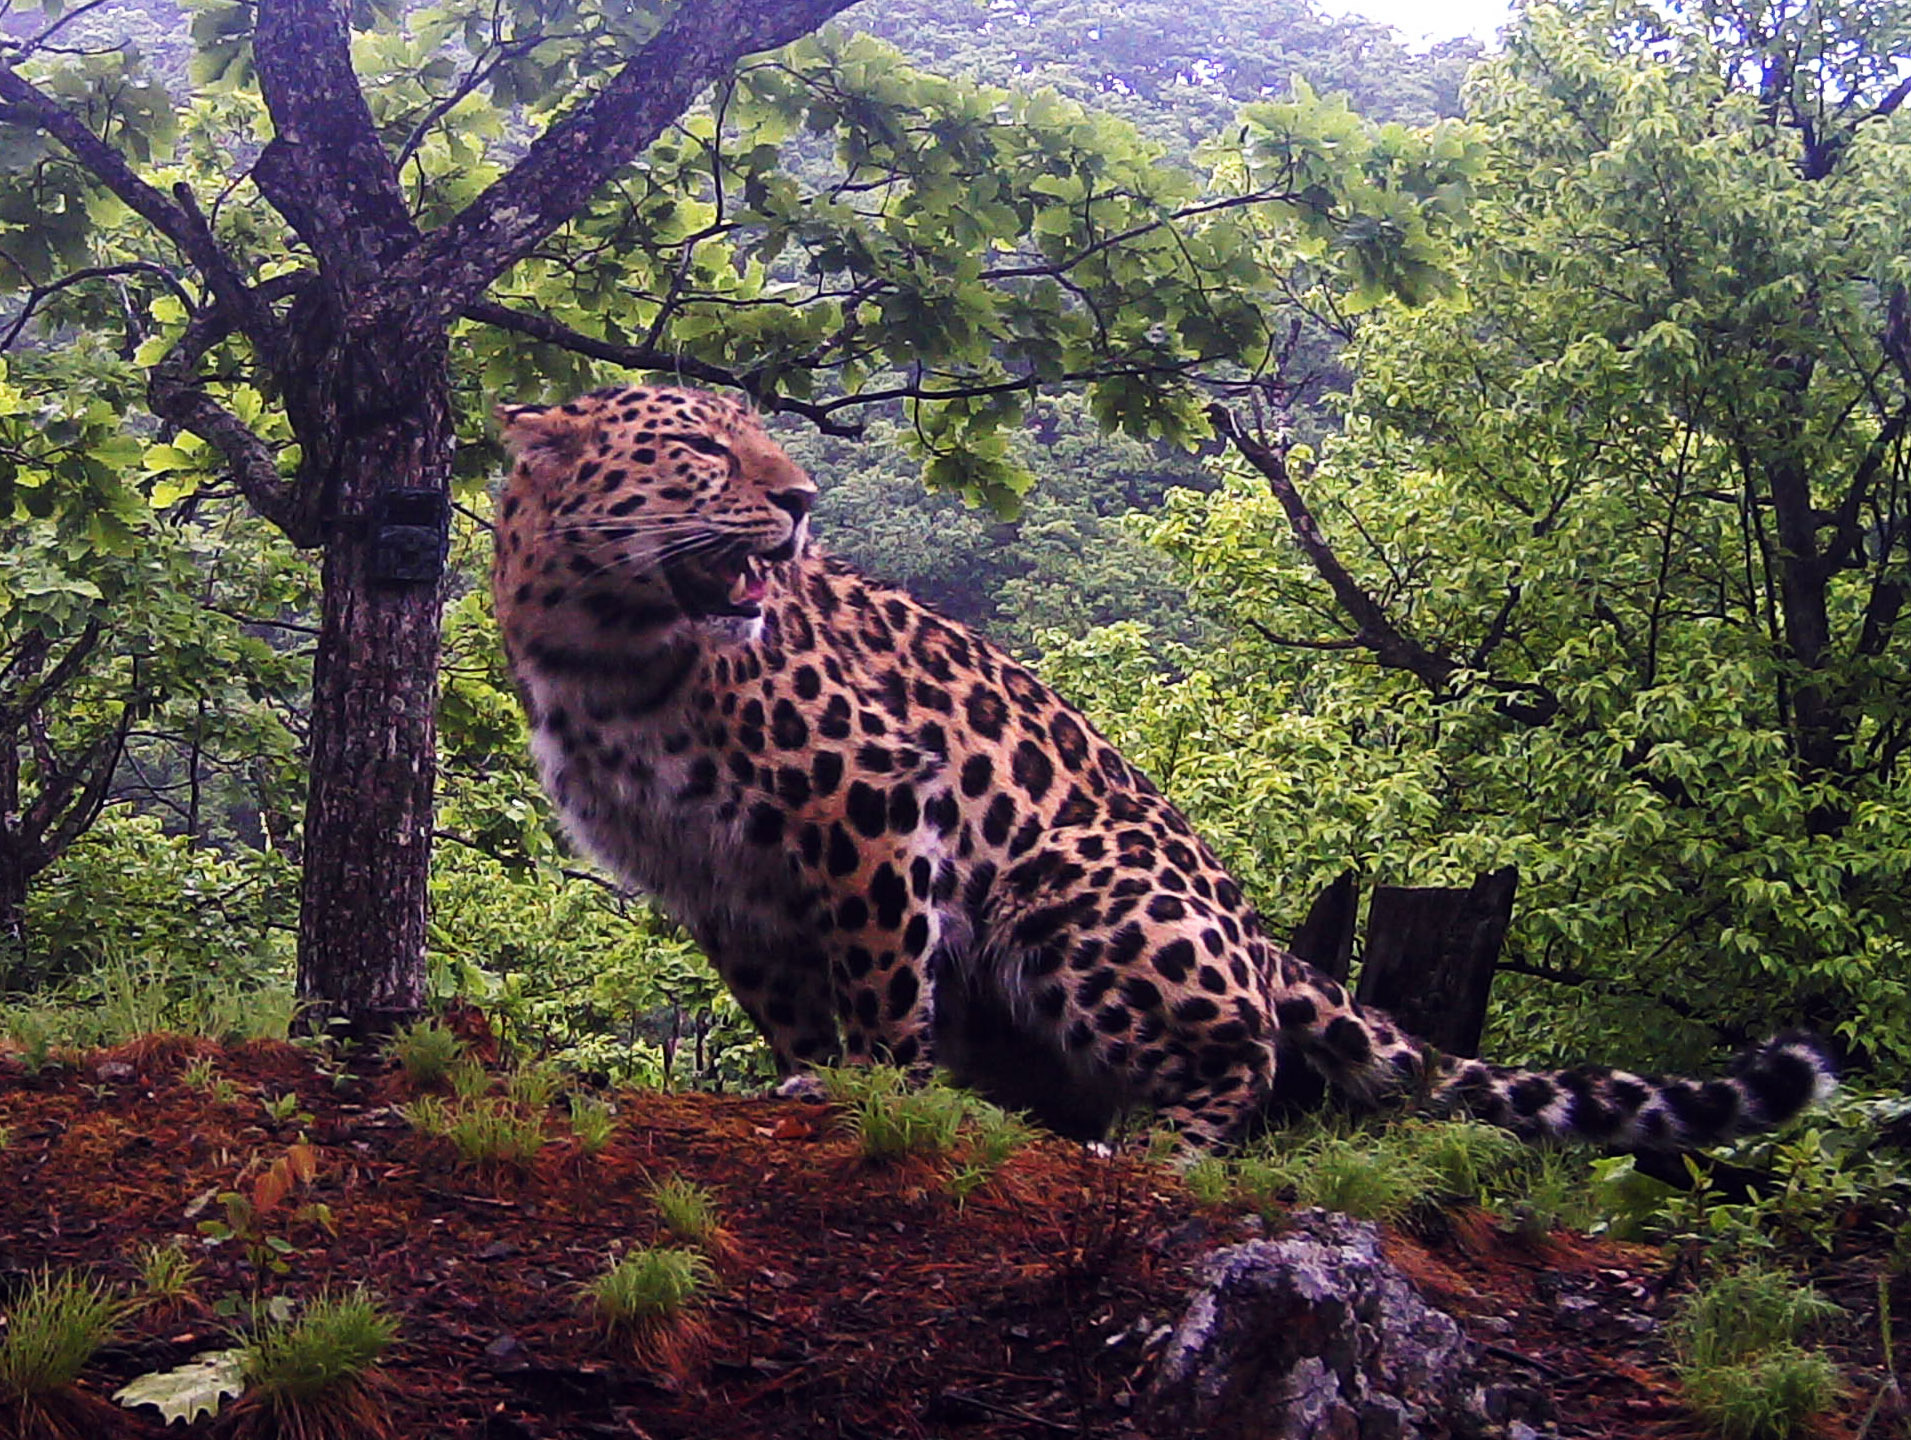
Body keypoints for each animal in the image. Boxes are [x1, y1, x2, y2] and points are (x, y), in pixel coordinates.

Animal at [493, 387, 1834, 1153]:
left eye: (764, 445)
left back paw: (1146, 1145)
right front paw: (809, 1078)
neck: (604, 647)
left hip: (1070, 889)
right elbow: (785, 1001)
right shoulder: (709, 873)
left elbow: (876, 976)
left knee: (1249, 1057)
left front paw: (871, 1093)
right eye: (701, 448)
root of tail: (1260, 932)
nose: (804, 499)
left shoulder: (867, 787)